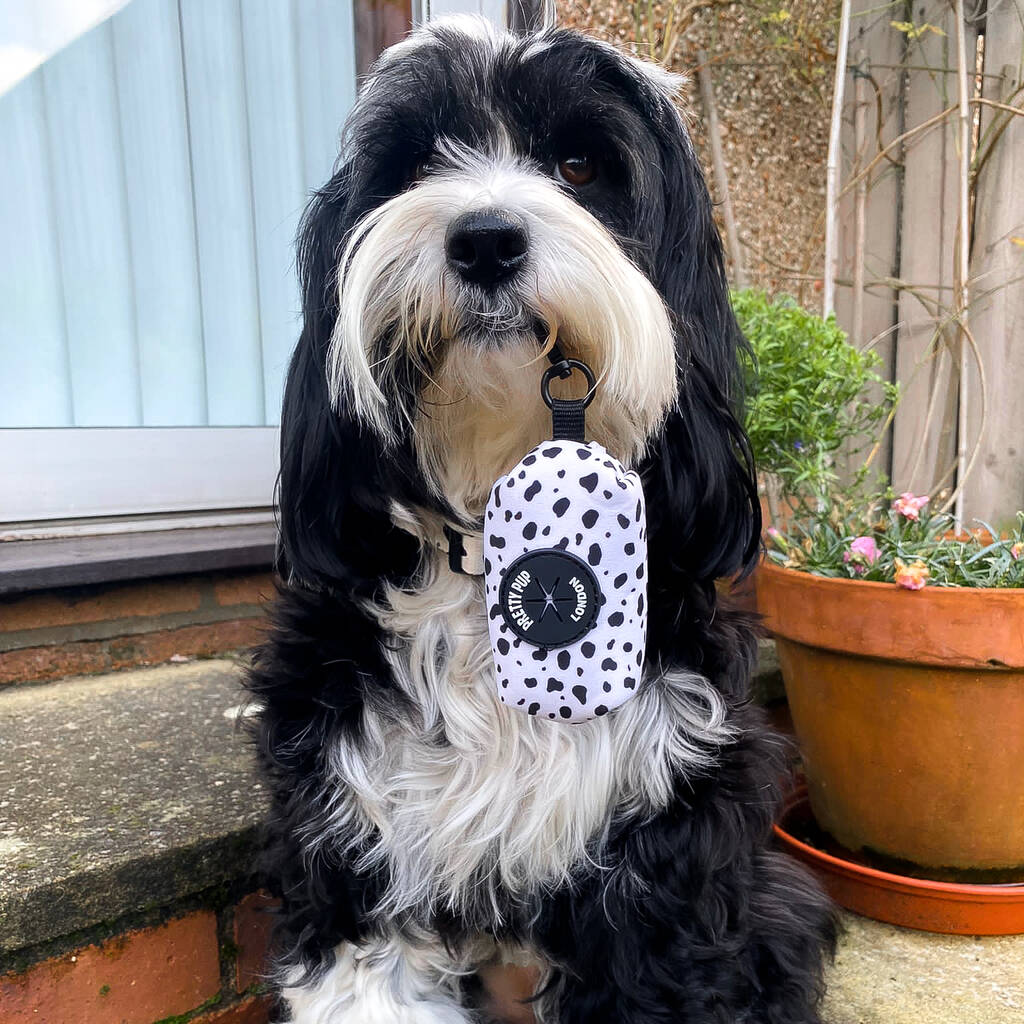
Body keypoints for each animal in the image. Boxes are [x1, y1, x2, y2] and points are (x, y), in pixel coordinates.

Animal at [245, 16, 831, 1024]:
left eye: (580, 163)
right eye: (414, 163)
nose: (484, 240)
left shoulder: (661, 872)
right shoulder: (357, 854)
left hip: (779, 908)